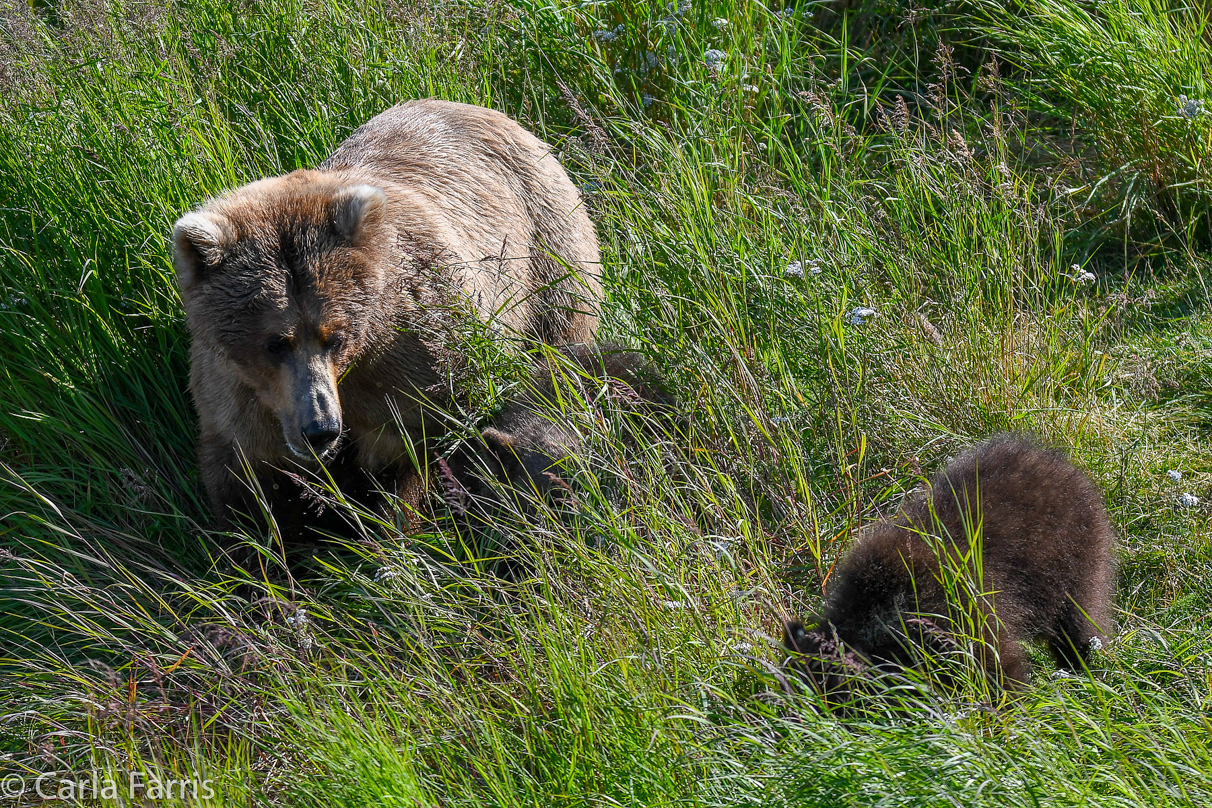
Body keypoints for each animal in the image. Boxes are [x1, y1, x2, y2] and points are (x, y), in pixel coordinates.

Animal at [168, 101, 603, 542]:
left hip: (547, 251)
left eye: (335, 336)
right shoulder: (238, 392)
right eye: (275, 342)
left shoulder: (412, 361)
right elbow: (246, 483)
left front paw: (392, 530)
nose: (321, 427)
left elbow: (410, 457)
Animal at [785, 433, 1115, 697]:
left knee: (1080, 621)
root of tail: (1059, 460)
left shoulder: (953, 609)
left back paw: (1084, 667)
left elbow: (996, 664)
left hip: (1077, 560)